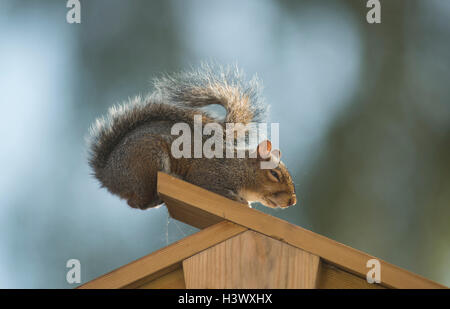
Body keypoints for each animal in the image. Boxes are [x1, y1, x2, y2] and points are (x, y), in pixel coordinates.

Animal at [88, 64, 298, 209]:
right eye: (274, 174)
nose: (292, 201)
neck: (239, 167)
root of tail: (108, 175)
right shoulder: (209, 175)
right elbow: (212, 187)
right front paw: (240, 201)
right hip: (147, 161)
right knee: (139, 202)